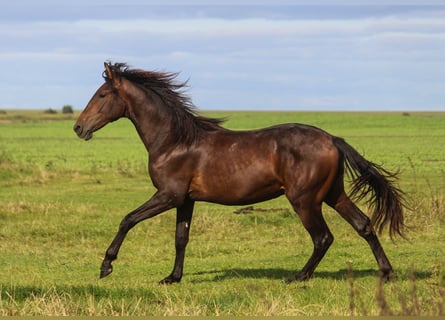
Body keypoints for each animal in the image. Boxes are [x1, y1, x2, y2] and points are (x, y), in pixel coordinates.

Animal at [72, 62, 402, 284]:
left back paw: (298, 277)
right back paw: (386, 273)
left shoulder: (168, 195)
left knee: (323, 237)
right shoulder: (185, 200)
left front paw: (106, 266)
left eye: (102, 94)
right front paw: (172, 278)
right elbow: (181, 238)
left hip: (305, 200)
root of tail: (332, 139)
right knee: (364, 225)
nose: (78, 127)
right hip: (334, 194)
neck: (174, 141)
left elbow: (127, 219)